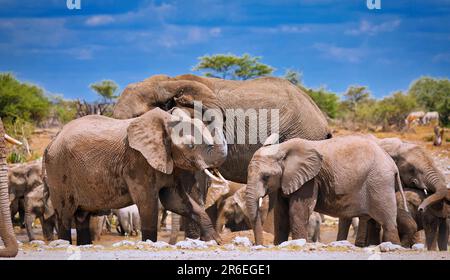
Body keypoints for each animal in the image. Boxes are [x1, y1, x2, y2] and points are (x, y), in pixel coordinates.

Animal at [246, 134, 408, 245]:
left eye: (266, 177)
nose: (257, 244)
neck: (283, 148)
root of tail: (392, 164)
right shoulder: (286, 180)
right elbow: (281, 214)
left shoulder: (310, 180)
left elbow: (296, 212)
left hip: (380, 183)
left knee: (388, 224)